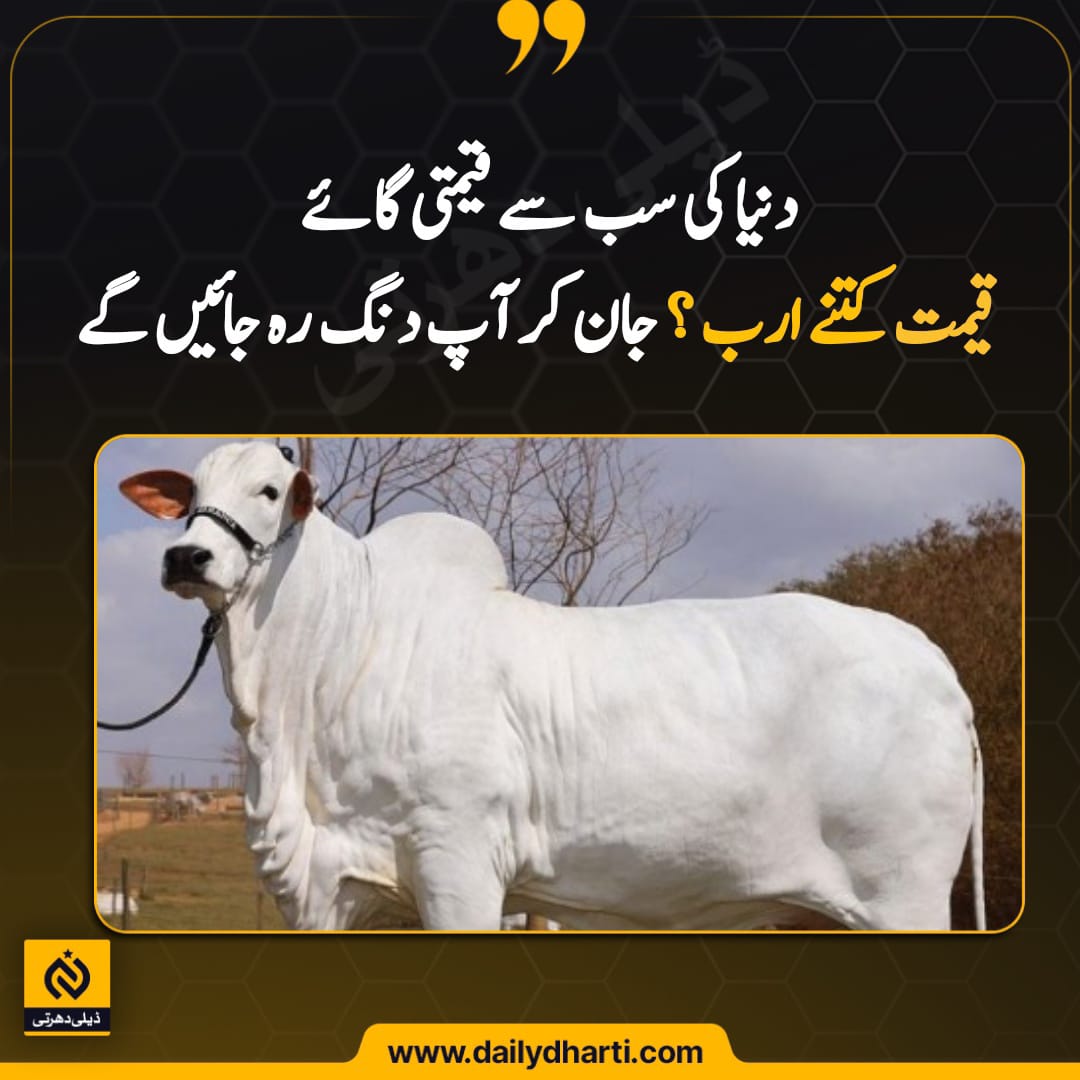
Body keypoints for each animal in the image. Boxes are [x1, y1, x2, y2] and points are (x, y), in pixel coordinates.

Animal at [118, 441, 986, 932]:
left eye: (270, 491)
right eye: (190, 494)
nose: (187, 557)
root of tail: (936, 664)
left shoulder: (459, 860)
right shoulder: (334, 886)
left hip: (904, 892)